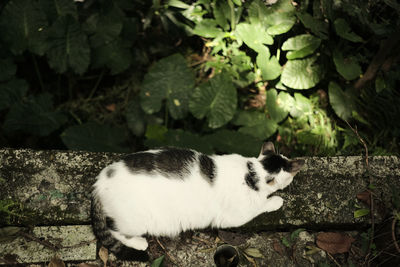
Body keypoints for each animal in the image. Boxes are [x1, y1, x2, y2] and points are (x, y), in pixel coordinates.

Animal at [90, 142, 304, 262]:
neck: (251, 173)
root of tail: (99, 184)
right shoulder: (235, 216)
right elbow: (262, 204)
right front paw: (276, 200)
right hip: (136, 220)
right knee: (114, 230)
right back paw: (138, 242)